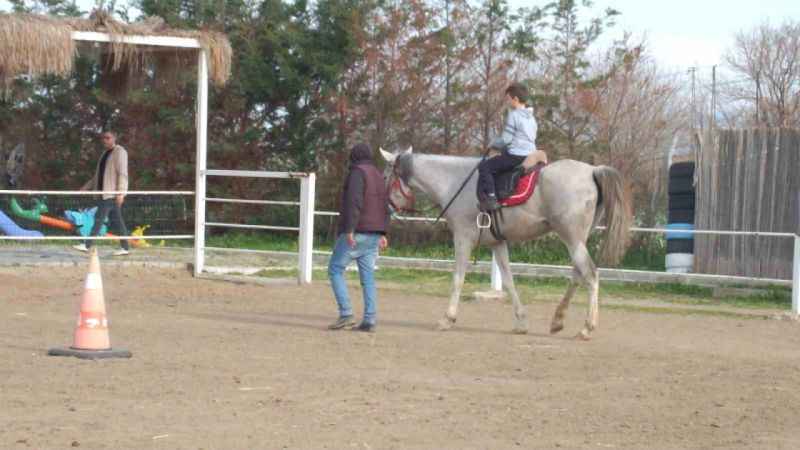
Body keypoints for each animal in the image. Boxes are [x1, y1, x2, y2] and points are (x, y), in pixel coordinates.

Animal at [382, 149, 632, 342]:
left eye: (386, 176)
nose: (388, 208)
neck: (454, 181)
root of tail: (592, 170)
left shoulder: (463, 239)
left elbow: (457, 279)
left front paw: (447, 318)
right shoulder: (497, 243)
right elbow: (509, 280)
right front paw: (521, 322)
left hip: (571, 238)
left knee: (590, 275)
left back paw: (587, 327)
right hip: (578, 239)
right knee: (578, 275)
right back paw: (557, 320)